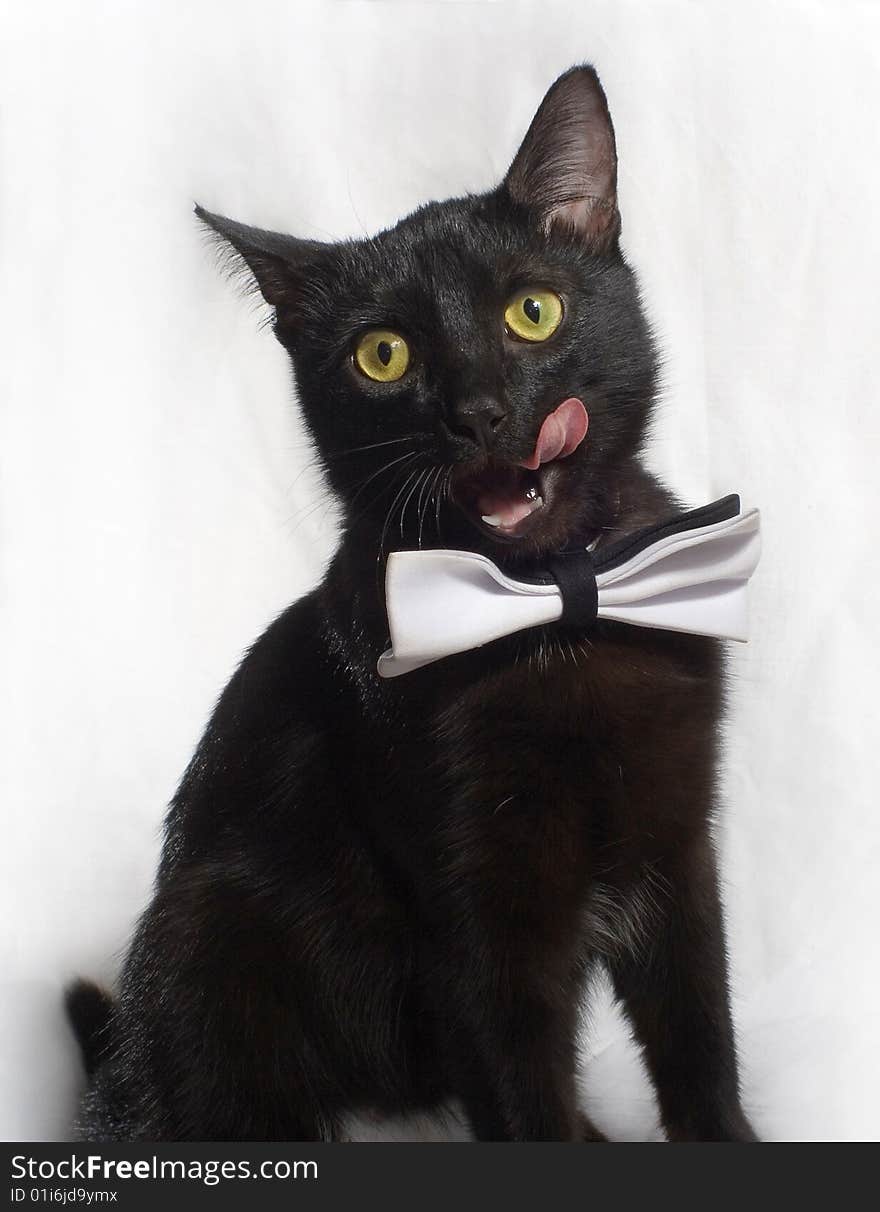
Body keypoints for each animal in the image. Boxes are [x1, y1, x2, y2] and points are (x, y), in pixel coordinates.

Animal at [69, 63, 756, 1144]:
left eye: (532, 312)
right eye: (382, 357)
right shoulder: (474, 925)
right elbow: (526, 1102)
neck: (553, 614)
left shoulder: (678, 848)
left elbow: (701, 1046)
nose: (476, 412)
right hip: (207, 937)